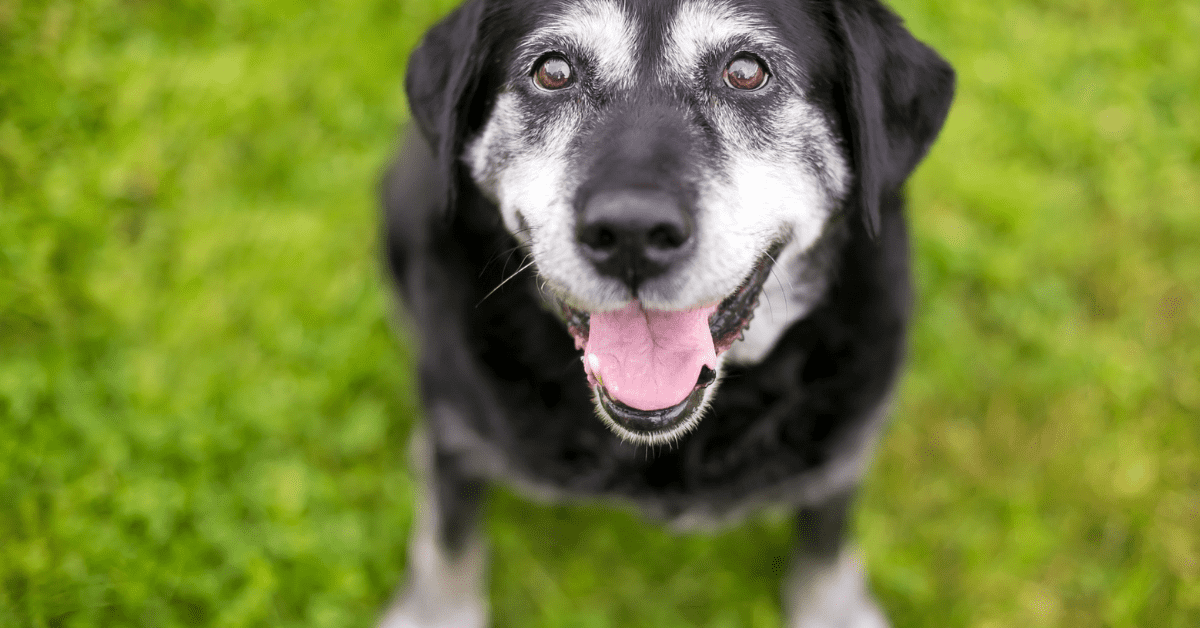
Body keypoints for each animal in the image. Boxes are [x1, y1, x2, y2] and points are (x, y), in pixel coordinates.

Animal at [379, 1, 950, 624]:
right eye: (552, 71)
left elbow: (825, 538)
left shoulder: (842, 450)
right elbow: (451, 539)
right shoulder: (458, 440)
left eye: (746, 72)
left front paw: (832, 610)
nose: (631, 232)